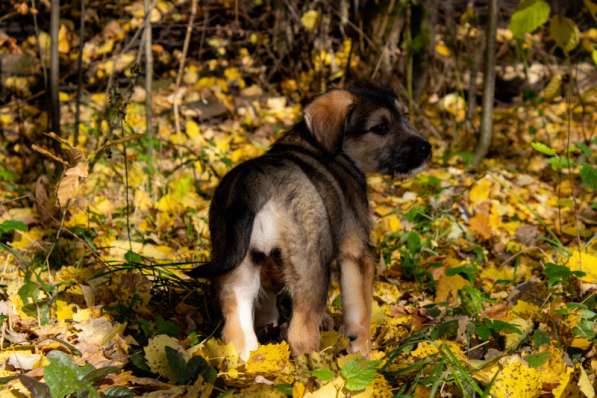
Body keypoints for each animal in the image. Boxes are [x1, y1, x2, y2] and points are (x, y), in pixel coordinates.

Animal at [189, 81, 430, 360]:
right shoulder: (356, 253)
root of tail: (256, 179)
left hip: (239, 268)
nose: (427, 148)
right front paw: (361, 355)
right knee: (301, 333)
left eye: (405, 116)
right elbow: (359, 312)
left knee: (237, 332)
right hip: (310, 266)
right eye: (380, 127)